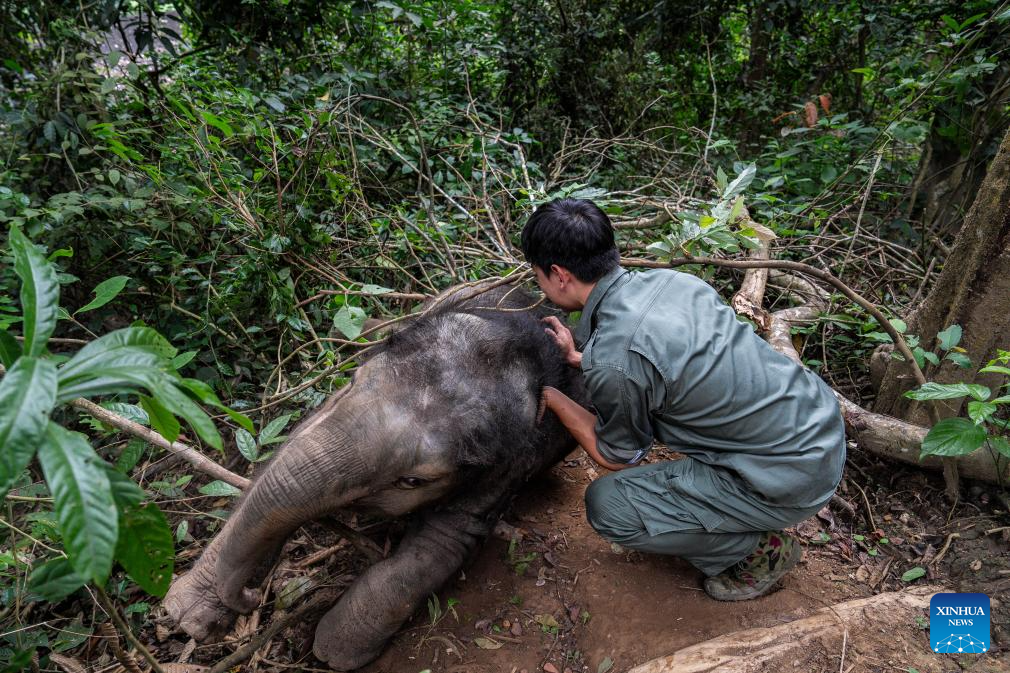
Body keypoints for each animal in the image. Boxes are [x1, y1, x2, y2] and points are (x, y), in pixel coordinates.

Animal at [164, 280, 585, 666]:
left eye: (412, 481)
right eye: (351, 383)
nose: (251, 598)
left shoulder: (510, 464)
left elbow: (444, 541)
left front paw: (331, 650)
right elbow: (285, 457)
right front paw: (187, 613)